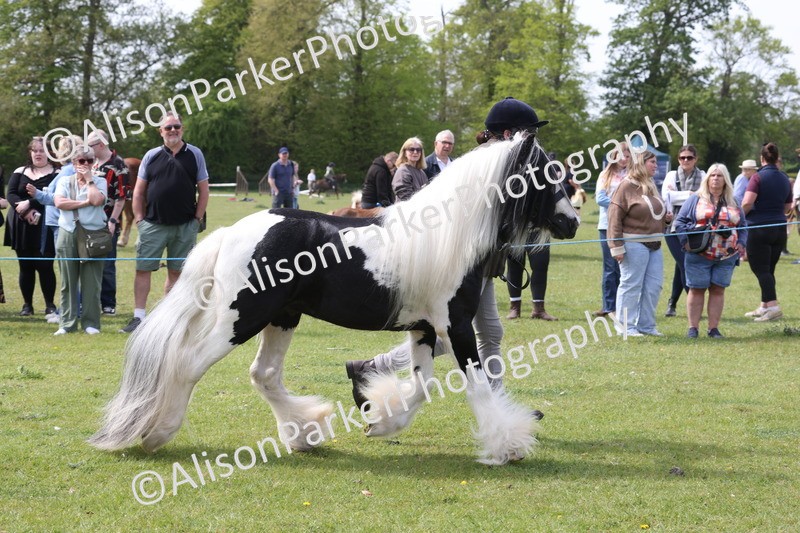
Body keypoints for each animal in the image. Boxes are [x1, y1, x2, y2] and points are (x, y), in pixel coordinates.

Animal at [89, 134, 579, 465]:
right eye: (546, 174)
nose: (572, 222)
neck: (447, 235)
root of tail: (231, 232)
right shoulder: (453, 326)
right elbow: (476, 383)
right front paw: (507, 445)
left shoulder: (424, 329)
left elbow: (422, 385)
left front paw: (379, 420)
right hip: (240, 319)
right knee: (189, 365)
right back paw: (158, 434)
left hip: (282, 317)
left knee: (263, 375)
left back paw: (304, 433)